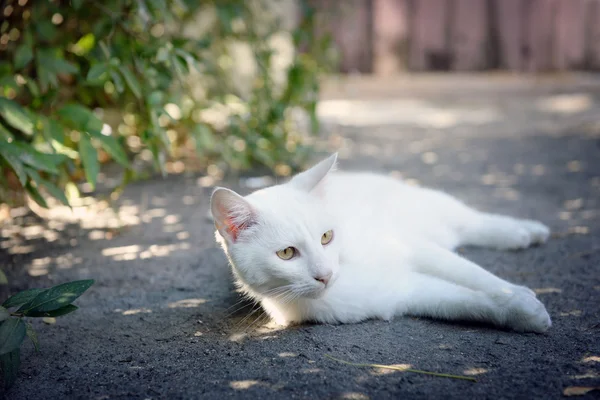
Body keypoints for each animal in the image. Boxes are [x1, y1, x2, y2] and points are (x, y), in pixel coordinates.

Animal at [211, 155, 552, 332]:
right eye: (286, 253)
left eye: (326, 237)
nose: (325, 275)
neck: (347, 271)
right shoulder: (405, 292)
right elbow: (466, 301)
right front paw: (520, 311)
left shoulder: (415, 248)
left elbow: (474, 275)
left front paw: (515, 293)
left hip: (432, 209)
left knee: (475, 222)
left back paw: (526, 230)